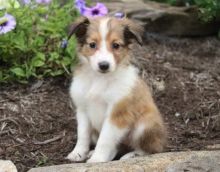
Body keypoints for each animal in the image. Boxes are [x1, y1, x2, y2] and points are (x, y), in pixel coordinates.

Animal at [67, 16, 167, 163]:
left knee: (152, 149)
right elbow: (83, 134)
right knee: (116, 147)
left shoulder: (117, 114)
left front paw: (97, 159)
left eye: (116, 45)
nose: (104, 65)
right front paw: (78, 153)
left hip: (143, 125)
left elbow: (105, 139)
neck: (99, 79)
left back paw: (132, 155)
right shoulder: (83, 109)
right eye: (92, 45)